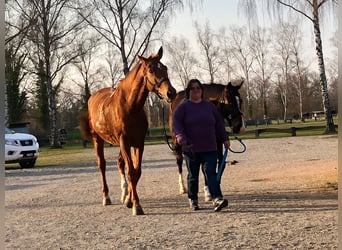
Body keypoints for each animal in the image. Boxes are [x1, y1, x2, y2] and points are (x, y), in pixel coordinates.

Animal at [80, 47, 176, 215]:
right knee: (102, 165)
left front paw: (130, 201)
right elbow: (131, 171)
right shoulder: (124, 141)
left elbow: (136, 172)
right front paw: (136, 205)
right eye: (151, 70)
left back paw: (124, 194)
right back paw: (106, 197)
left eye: (165, 68)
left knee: (120, 163)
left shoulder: (138, 143)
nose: (171, 93)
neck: (130, 106)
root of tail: (93, 97)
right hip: (97, 139)